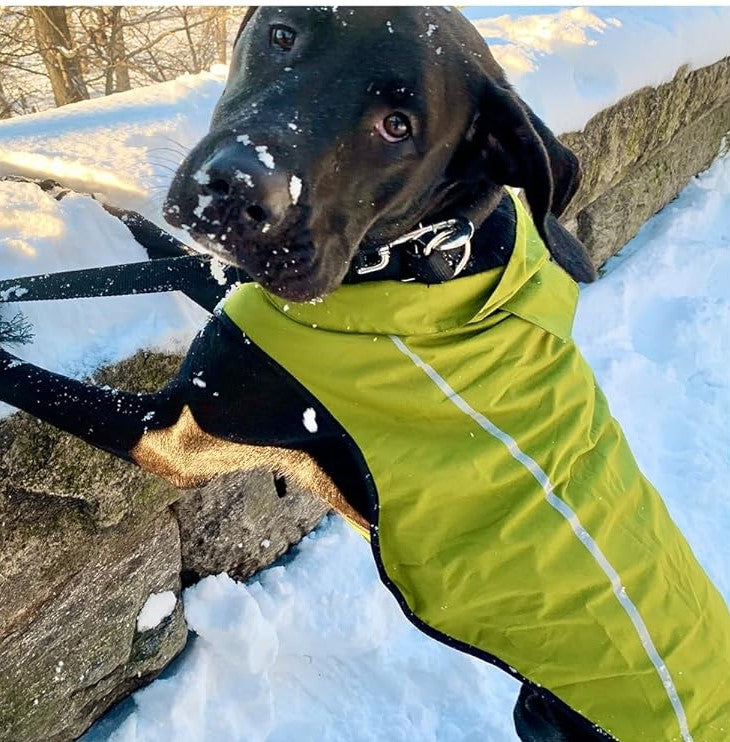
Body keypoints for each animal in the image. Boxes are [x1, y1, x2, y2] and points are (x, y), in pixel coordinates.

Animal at [0, 7, 604, 742]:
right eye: (283, 35)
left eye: (397, 125)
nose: (234, 190)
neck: (417, 257)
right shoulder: (243, 290)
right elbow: (158, 241)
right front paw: (64, 191)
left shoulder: (170, 433)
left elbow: (28, 378)